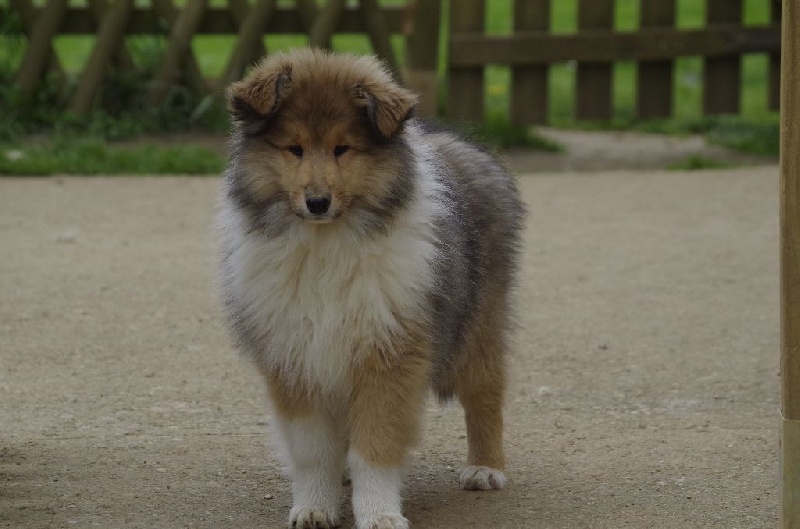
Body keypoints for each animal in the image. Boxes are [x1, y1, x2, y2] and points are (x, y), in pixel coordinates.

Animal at [217, 48, 524, 529]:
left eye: (343, 148)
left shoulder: (389, 352)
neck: (327, 242)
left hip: (479, 322)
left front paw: (380, 514)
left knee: (486, 391)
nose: (317, 203)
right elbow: (312, 451)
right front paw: (314, 507)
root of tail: (464, 145)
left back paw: (485, 468)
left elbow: (376, 445)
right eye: (294, 148)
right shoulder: (297, 356)